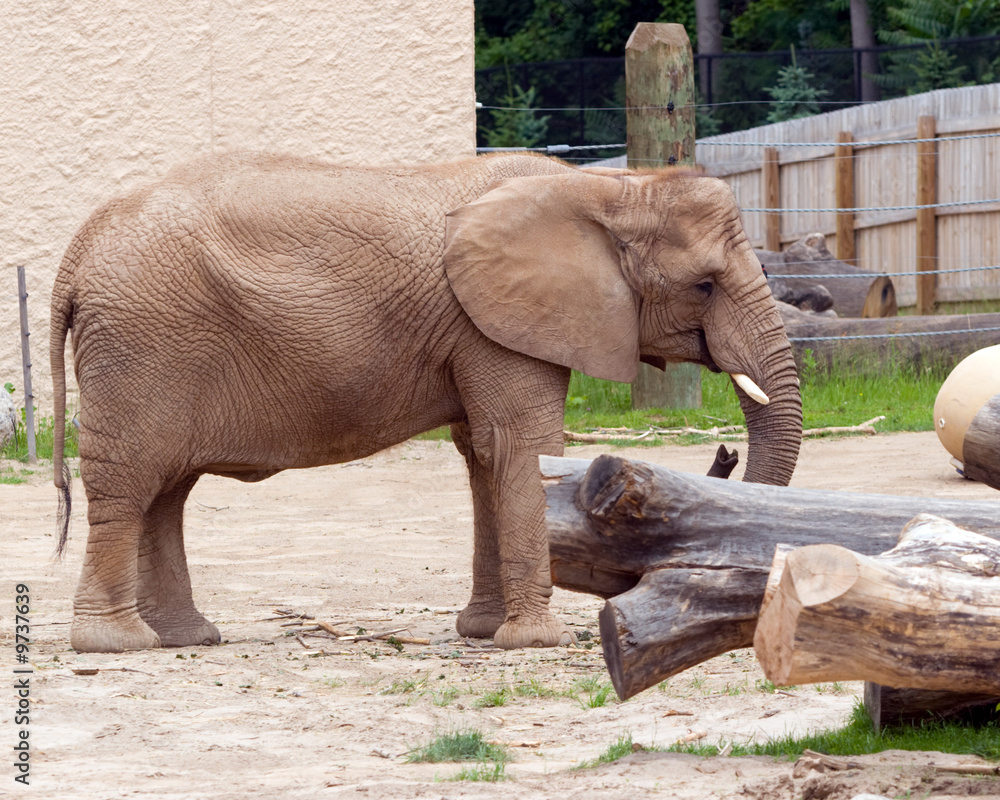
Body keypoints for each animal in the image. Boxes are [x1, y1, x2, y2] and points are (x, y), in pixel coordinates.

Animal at [50, 151, 802, 654]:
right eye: (704, 285)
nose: (723, 456)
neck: (612, 188)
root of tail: (74, 254)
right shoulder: (499, 319)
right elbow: (521, 447)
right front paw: (535, 642)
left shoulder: (485, 324)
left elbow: (484, 454)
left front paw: (484, 632)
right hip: (141, 346)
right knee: (132, 483)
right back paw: (117, 645)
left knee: (167, 489)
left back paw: (187, 638)